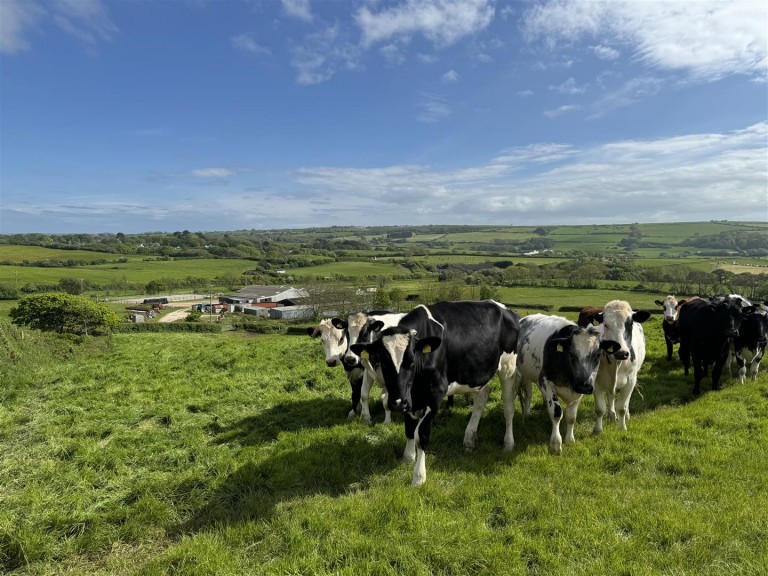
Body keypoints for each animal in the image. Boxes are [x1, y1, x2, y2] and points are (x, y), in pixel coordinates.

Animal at [350, 302, 520, 486]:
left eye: (411, 360)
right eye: (383, 361)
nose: (397, 403)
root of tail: (505, 309)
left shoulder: (434, 395)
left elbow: (421, 435)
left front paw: (418, 477)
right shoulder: (410, 399)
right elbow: (409, 429)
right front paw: (408, 457)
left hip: (508, 368)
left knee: (508, 407)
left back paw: (508, 443)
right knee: (482, 398)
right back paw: (469, 439)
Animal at [510, 316, 616, 454]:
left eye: (598, 354)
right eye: (571, 353)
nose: (583, 385)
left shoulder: (578, 392)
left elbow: (571, 416)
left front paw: (569, 439)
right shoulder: (545, 381)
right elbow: (556, 412)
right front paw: (555, 444)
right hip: (523, 373)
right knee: (528, 392)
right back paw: (527, 413)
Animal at [580, 304, 652, 434]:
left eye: (630, 323)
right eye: (605, 324)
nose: (621, 353)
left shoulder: (630, 380)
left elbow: (622, 407)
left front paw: (622, 427)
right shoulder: (596, 381)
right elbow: (600, 409)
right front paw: (597, 430)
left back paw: (625, 415)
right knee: (611, 395)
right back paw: (611, 415)